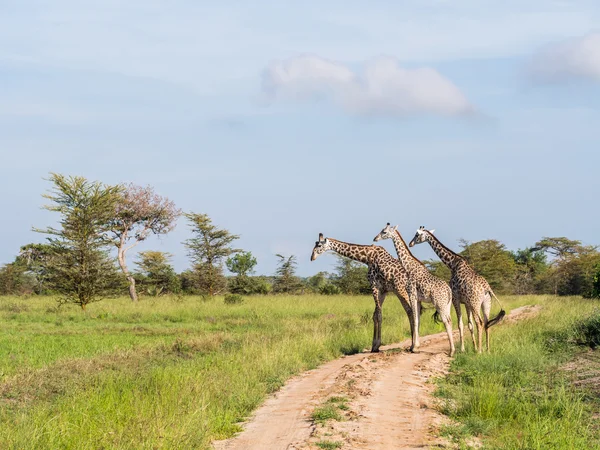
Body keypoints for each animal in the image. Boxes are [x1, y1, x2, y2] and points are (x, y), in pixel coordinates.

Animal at [376, 223, 454, 356]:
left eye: (384, 232)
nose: (375, 238)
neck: (409, 267)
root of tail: (449, 291)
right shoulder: (417, 299)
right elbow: (417, 319)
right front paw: (414, 345)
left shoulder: (411, 294)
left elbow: (415, 320)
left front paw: (414, 347)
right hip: (447, 304)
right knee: (450, 320)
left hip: (439, 304)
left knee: (446, 321)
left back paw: (452, 351)